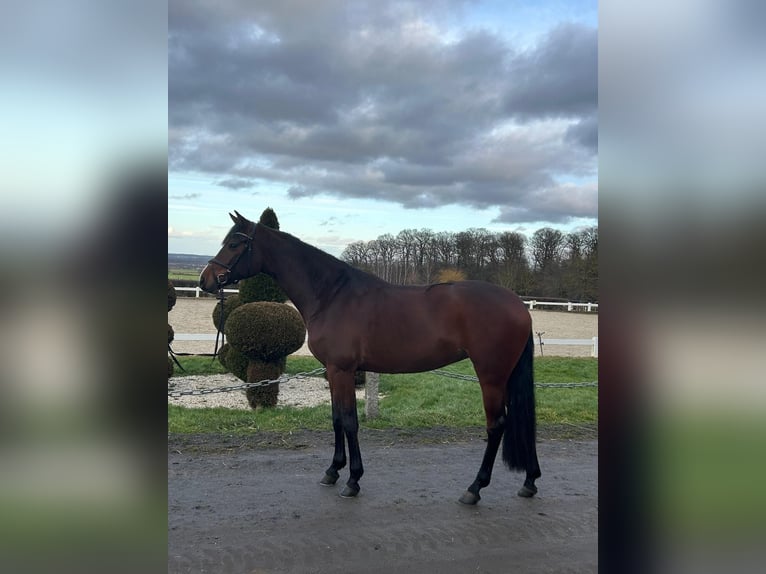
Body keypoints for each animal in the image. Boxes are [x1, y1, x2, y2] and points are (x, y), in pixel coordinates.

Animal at [201, 212, 544, 504]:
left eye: (234, 244)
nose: (206, 280)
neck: (332, 296)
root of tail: (517, 304)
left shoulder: (342, 370)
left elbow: (349, 422)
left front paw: (353, 481)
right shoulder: (333, 371)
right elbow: (336, 419)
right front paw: (332, 472)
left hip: (491, 375)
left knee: (496, 425)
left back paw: (474, 489)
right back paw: (529, 482)